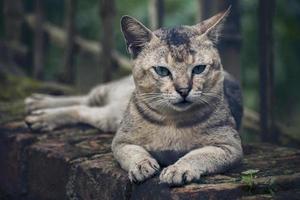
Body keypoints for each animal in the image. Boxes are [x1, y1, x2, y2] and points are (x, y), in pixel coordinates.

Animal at [24, 7, 243, 186]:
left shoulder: (230, 146)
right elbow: (135, 152)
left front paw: (178, 168)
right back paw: (41, 110)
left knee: (85, 107)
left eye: (198, 69)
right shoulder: (121, 140)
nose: (183, 90)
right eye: (162, 71)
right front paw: (141, 164)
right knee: (85, 103)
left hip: (109, 117)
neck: (172, 122)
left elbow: (197, 155)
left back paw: (39, 109)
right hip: (112, 114)